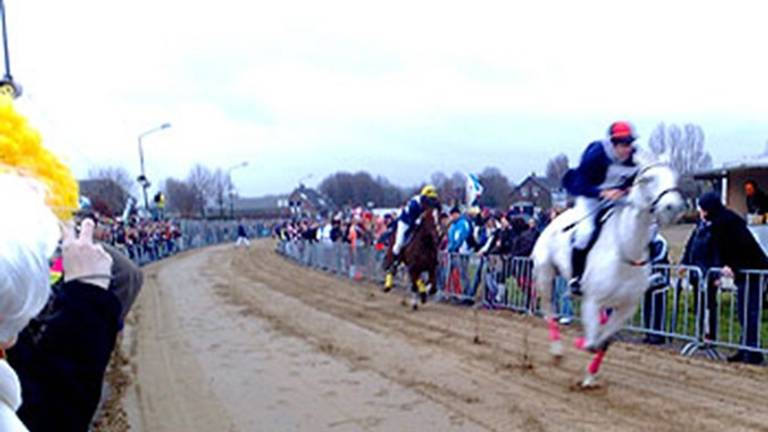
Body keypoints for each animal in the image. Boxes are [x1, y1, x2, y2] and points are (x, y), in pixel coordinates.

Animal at [532, 157, 688, 386]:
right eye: (648, 179)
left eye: (675, 176)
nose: (673, 207)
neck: (626, 251)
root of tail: (555, 219)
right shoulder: (592, 301)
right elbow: (593, 341)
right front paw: (582, 345)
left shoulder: (626, 307)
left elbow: (604, 342)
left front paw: (589, 378)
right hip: (545, 274)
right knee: (549, 311)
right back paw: (557, 352)